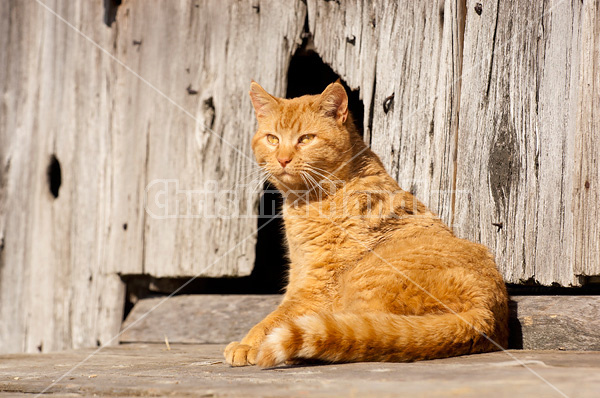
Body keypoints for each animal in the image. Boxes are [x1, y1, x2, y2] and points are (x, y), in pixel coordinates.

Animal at [224, 81, 506, 366]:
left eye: (306, 139)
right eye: (272, 139)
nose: (283, 159)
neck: (307, 198)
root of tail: (485, 316)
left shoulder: (319, 285)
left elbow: (277, 316)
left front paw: (248, 343)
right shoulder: (300, 272)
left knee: (365, 328)